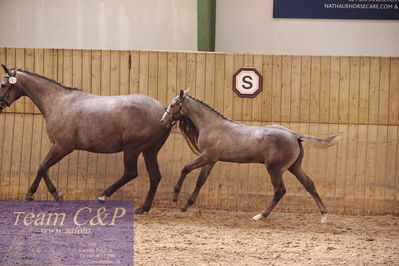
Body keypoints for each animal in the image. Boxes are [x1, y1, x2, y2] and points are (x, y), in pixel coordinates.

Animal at [0, 65, 170, 214]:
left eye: (3, 84)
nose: (0, 105)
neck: (59, 102)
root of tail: (163, 110)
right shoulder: (57, 146)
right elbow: (43, 167)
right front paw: (51, 195)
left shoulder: (62, 147)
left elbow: (42, 167)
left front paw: (41, 195)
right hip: (149, 151)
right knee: (155, 177)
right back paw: (143, 208)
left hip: (132, 149)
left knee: (130, 173)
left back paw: (102, 197)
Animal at [162, 89, 340, 222]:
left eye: (173, 104)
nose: (162, 121)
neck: (212, 126)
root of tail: (295, 135)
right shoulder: (211, 160)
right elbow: (200, 181)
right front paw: (185, 206)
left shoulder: (207, 156)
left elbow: (185, 168)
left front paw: (175, 197)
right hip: (294, 167)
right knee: (309, 184)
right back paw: (324, 215)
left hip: (275, 169)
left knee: (279, 191)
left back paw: (260, 216)